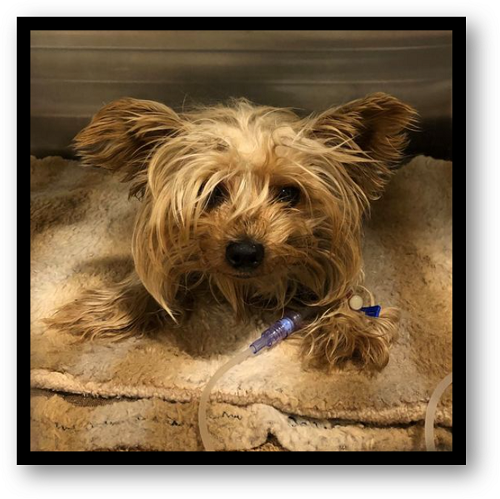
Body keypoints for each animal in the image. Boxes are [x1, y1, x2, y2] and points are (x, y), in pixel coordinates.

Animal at [46, 93, 417, 371]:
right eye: (212, 193)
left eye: (288, 193)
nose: (245, 253)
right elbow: (147, 280)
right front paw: (111, 306)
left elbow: (348, 293)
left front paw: (350, 326)